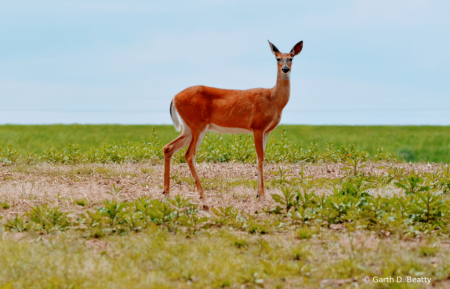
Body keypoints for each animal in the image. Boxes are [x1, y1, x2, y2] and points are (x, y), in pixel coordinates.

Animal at [162, 40, 302, 198]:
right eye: (278, 58)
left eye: (291, 58)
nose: (285, 69)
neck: (273, 100)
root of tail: (174, 98)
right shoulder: (257, 126)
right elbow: (260, 158)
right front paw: (261, 194)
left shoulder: (266, 131)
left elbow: (261, 157)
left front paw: (258, 193)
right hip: (198, 125)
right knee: (189, 155)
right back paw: (201, 193)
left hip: (188, 128)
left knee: (168, 148)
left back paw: (166, 191)